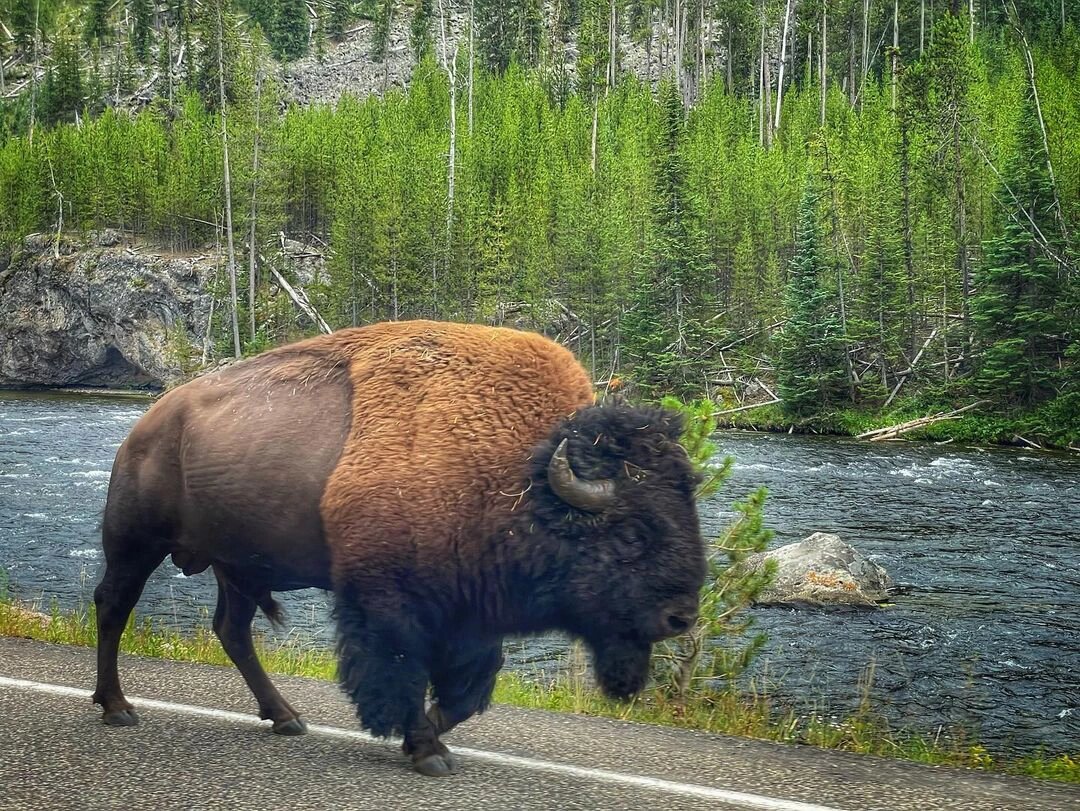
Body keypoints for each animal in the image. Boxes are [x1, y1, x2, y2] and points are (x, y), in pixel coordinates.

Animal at [95, 319, 708, 777]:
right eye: (632, 533)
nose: (680, 617)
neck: (521, 474)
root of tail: (146, 423)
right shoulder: (389, 602)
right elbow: (401, 674)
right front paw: (424, 747)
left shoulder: (469, 613)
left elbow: (466, 690)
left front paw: (431, 741)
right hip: (136, 543)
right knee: (113, 606)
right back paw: (118, 708)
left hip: (236, 566)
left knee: (232, 630)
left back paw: (286, 717)